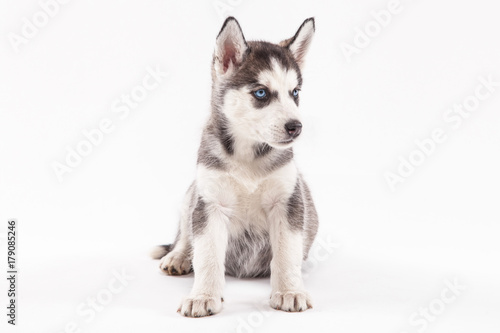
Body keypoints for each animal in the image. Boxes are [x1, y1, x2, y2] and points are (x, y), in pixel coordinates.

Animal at [150, 16, 318, 316]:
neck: (248, 156)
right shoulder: (210, 203)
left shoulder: (289, 201)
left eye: (295, 93)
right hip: (191, 194)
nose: (296, 127)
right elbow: (207, 255)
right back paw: (178, 256)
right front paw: (203, 296)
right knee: (184, 233)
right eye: (261, 93)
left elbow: (287, 253)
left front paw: (290, 291)